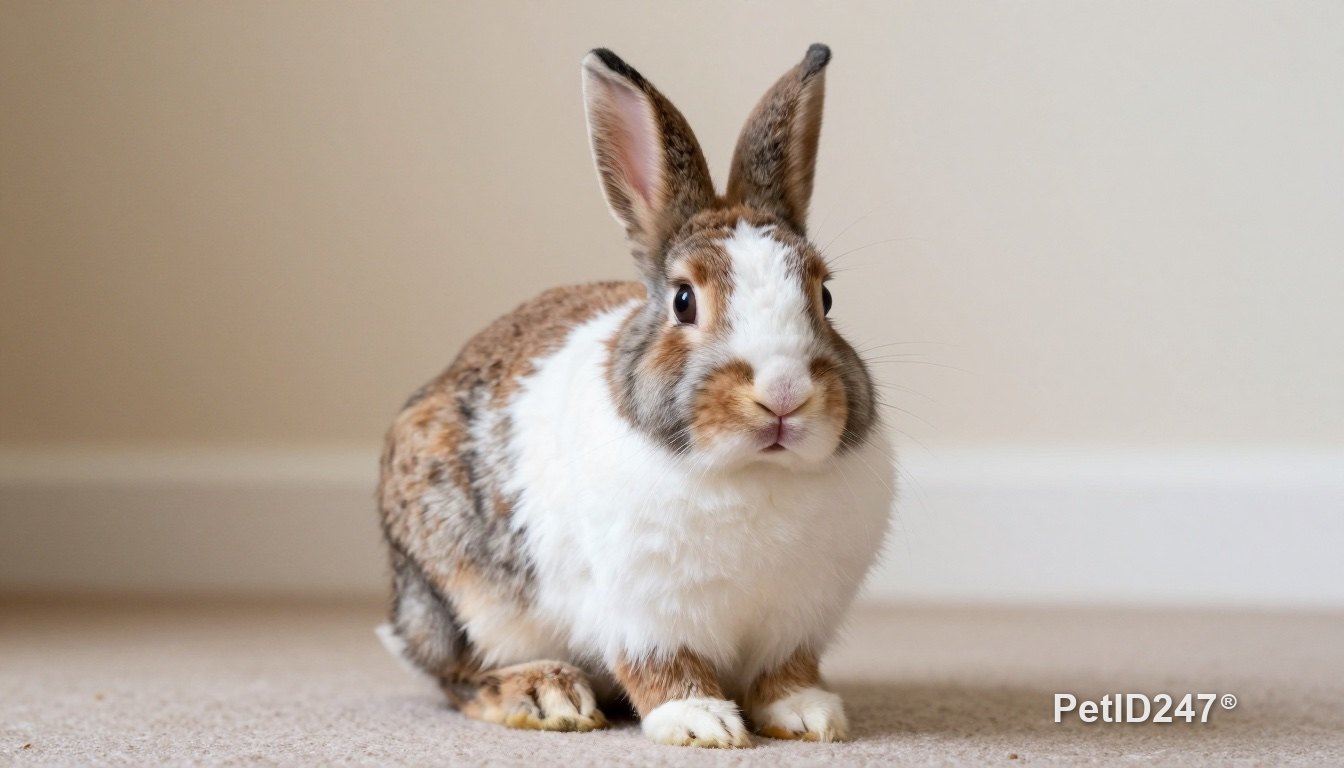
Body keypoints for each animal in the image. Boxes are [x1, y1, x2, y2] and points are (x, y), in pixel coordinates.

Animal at [376, 43, 894, 748]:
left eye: (826, 296)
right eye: (684, 301)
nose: (784, 394)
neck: (754, 472)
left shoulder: (796, 618)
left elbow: (784, 672)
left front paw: (809, 715)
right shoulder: (641, 611)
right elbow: (662, 667)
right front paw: (702, 723)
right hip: (460, 597)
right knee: (457, 676)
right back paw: (545, 695)